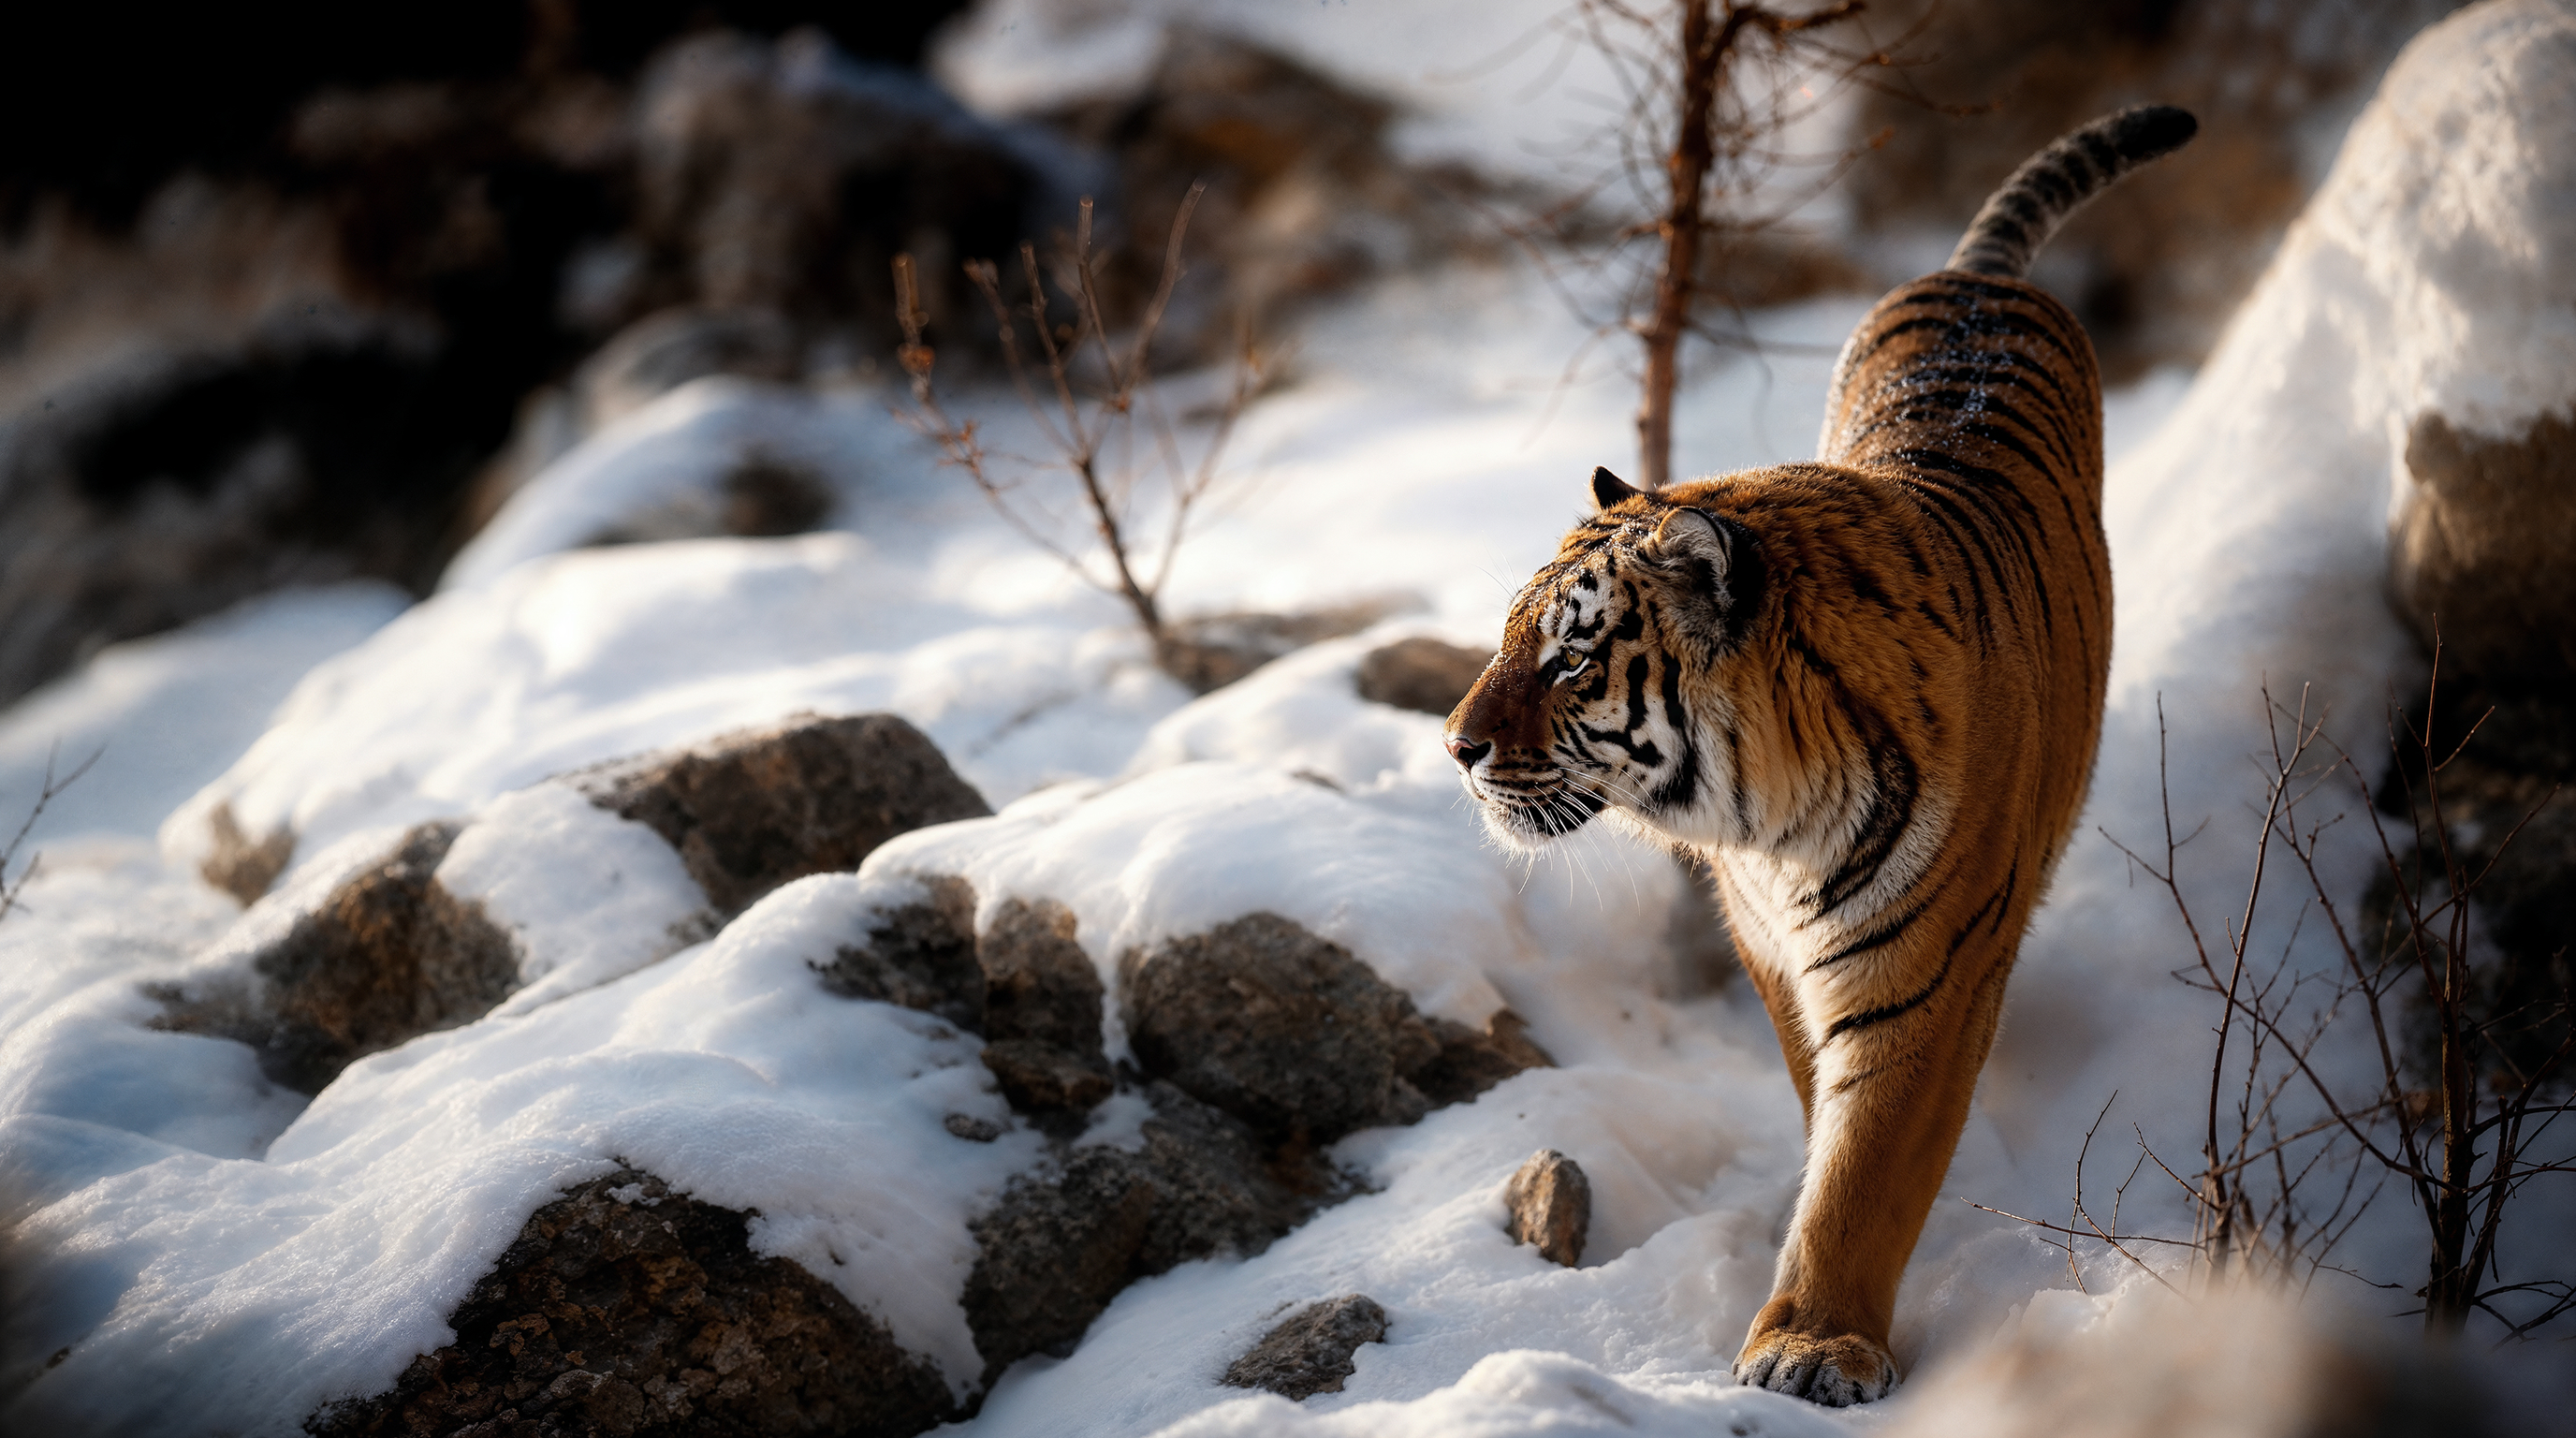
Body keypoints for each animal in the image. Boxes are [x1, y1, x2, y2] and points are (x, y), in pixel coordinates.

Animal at [1444, 105, 2198, 1406]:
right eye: (1508, 640)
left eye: (1571, 660)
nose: (1454, 746)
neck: (1763, 829)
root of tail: (1972, 279)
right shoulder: (1772, 953)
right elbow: (1821, 1110)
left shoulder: (1922, 971)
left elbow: (1864, 1168)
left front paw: (1809, 1345)